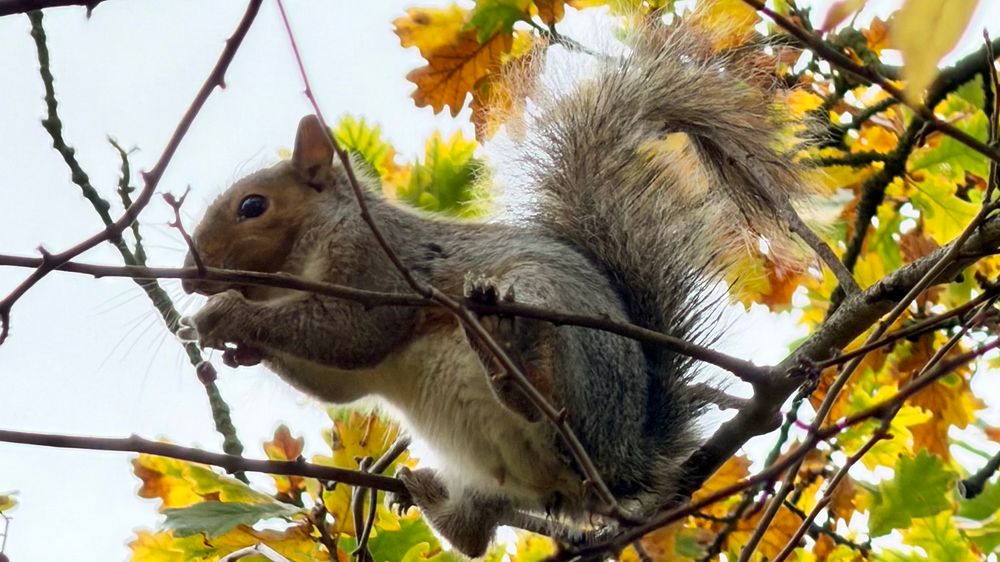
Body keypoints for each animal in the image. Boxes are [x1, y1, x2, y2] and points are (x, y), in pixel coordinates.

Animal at [179, 22, 812, 558]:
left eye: (253, 207)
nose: (188, 274)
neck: (313, 247)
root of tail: (617, 465)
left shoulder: (378, 266)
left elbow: (351, 335)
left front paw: (226, 315)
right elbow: (338, 380)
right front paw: (226, 339)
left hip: (552, 320)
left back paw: (512, 360)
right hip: (490, 481)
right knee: (474, 535)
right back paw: (430, 492)